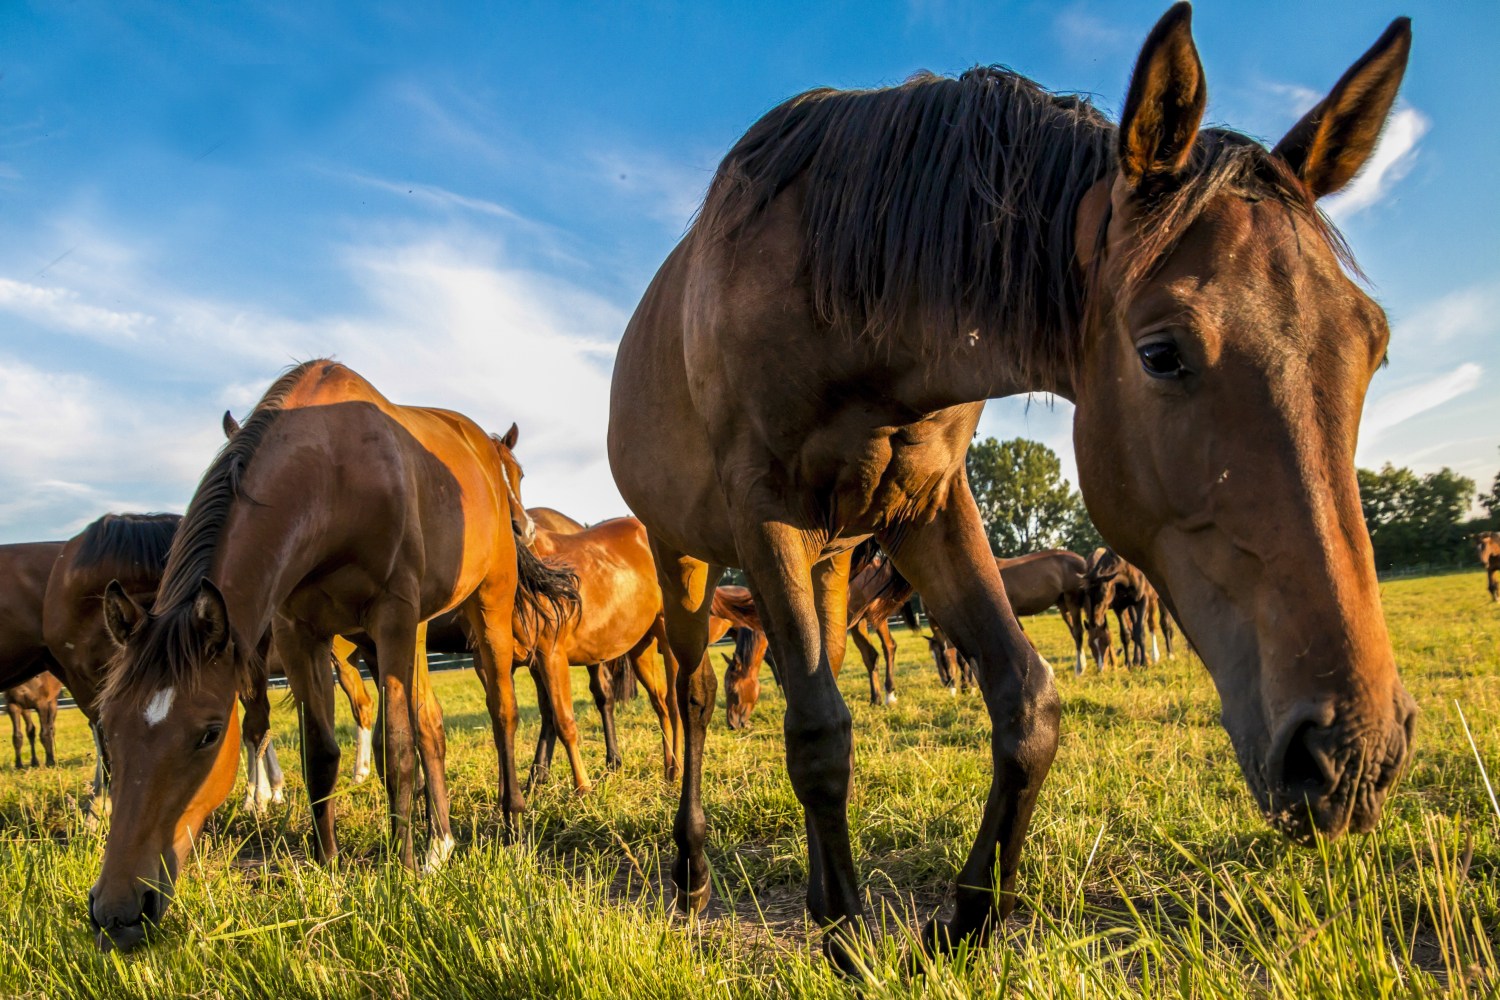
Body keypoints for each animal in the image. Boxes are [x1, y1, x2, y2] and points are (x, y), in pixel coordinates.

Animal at [90, 361, 575, 951]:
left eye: (209, 734)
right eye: (108, 726)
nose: (117, 910)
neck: (332, 476)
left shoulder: (390, 617)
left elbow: (396, 747)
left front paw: (401, 872)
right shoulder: (298, 634)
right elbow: (321, 755)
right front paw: (330, 866)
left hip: (487, 605)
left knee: (501, 710)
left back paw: (511, 825)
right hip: (407, 634)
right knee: (432, 724)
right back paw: (440, 845)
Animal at [607, 6, 1416, 969]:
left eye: (1373, 345)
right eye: (1162, 353)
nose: (1352, 754)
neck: (836, 288)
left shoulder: (928, 507)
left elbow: (1026, 704)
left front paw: (961, 921)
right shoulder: (762, 515)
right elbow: (816, 736)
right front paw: (846, 936)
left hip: (832, 559)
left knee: (822, 670)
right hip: (684, 555)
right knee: (694, 692)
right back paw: (691, 874)